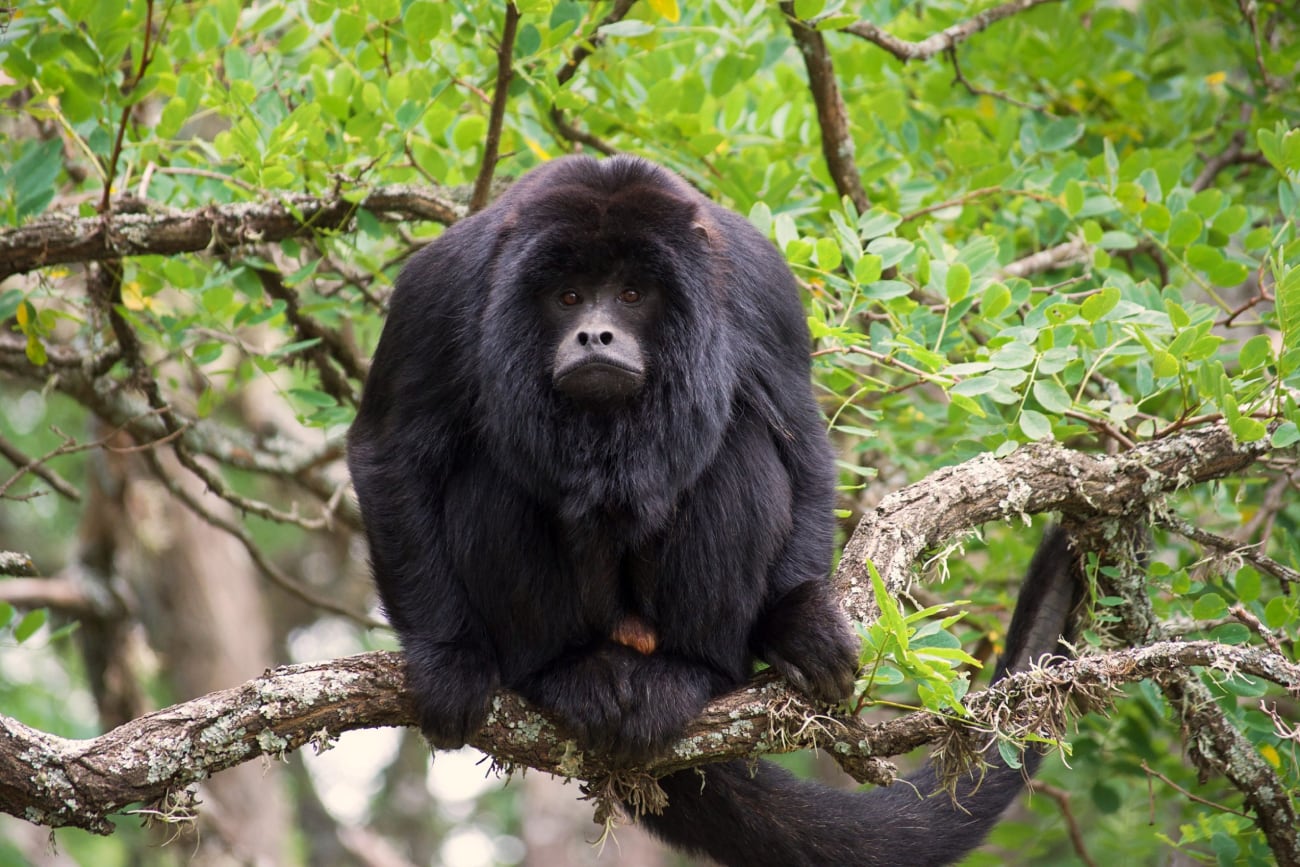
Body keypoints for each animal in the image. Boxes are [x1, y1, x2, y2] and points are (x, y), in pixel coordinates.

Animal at [351, 157, 1081, 867]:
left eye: (632, 294)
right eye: (567, 296)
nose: (595, 334)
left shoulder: (762, 289)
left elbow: (799, 441)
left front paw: (795, 621)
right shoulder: (440, 292)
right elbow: (392, 452)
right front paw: (450, 656)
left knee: (740, 447)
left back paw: (689, 672)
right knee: (491, 477)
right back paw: (565, 670)